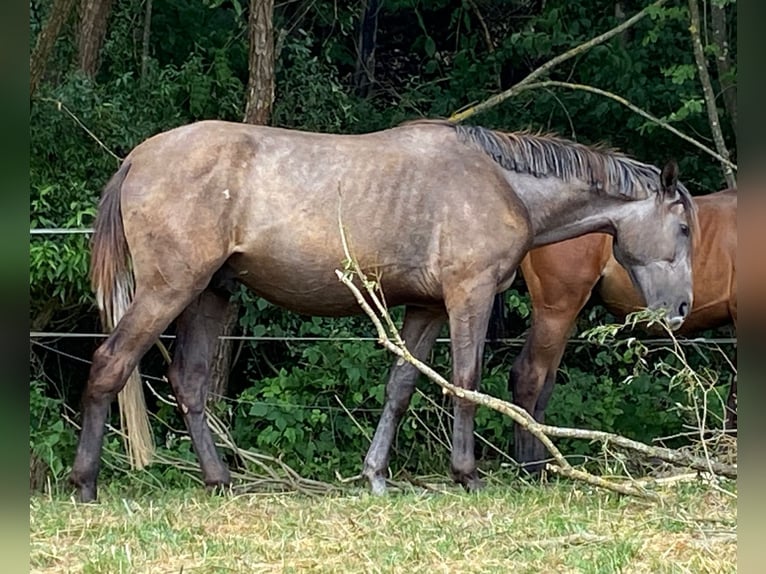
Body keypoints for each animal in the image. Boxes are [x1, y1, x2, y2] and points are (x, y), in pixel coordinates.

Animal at [69, 119, 700, 502]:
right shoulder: (467, 296)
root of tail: (138, 158)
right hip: (169, 290)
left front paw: (376, 475)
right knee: (110, 364)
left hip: (208, 295)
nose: (681, 308)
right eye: (684, 227)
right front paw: (467, 474)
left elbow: (401, 386)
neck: (500, 182)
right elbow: (465, 380)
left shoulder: (425, 308)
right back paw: (86, 484)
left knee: (190, 383)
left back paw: (218, 479)